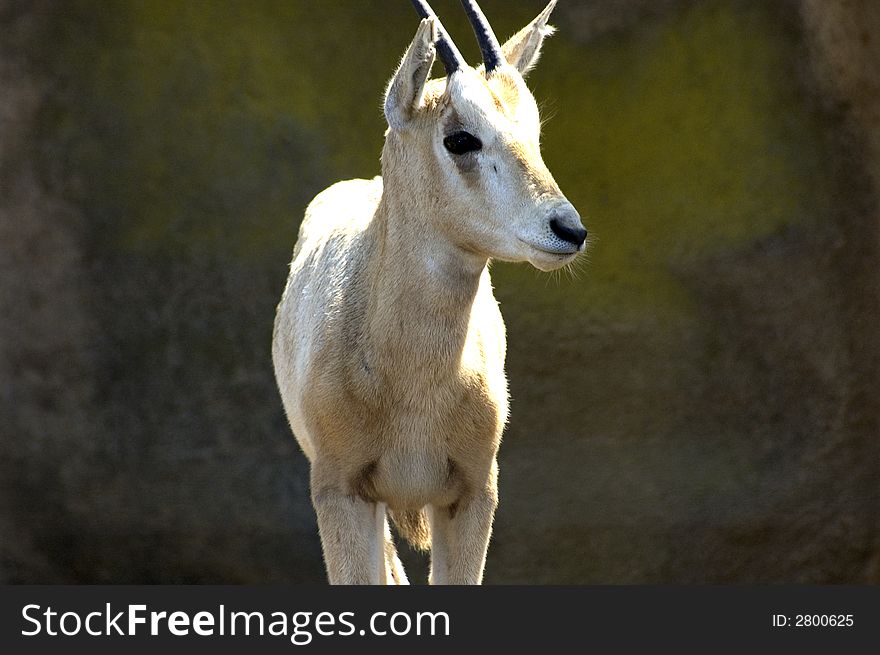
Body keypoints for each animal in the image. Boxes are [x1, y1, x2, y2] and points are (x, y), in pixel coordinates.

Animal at [272, 0, 588, 584]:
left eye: (532, 130)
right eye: (460, 137)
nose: (568, 230)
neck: (411, 383)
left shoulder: (472, 494)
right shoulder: (341, 492)